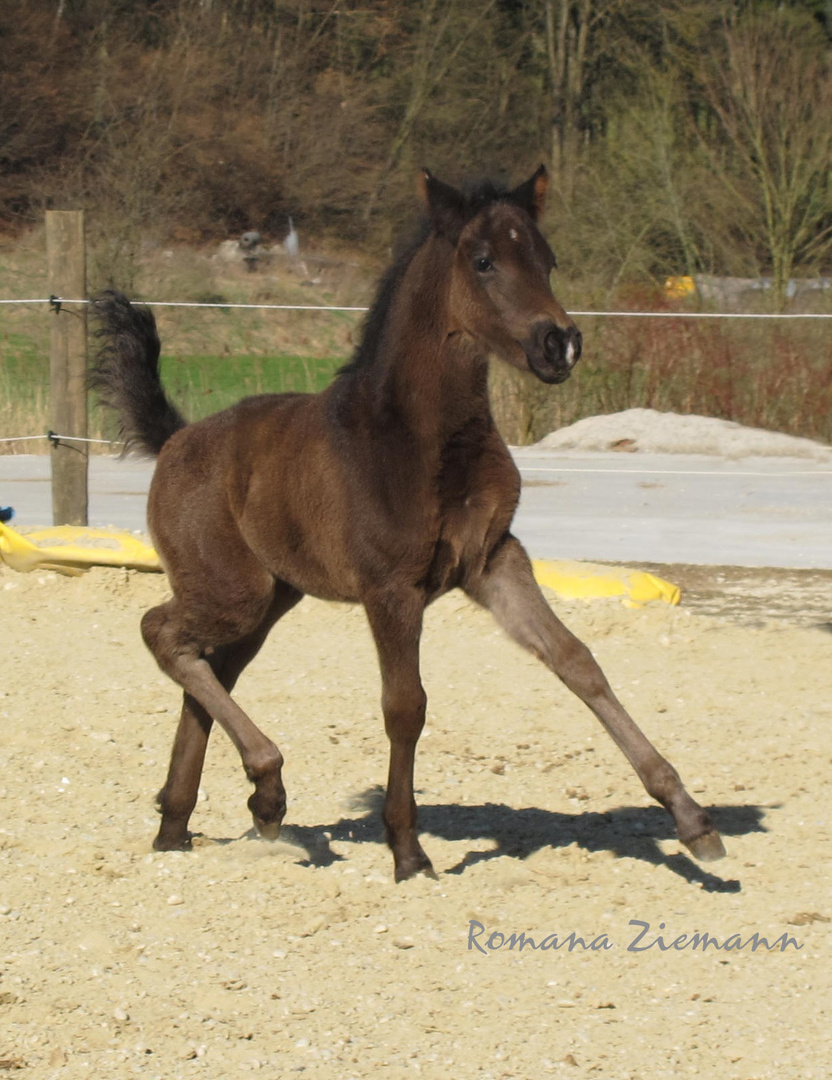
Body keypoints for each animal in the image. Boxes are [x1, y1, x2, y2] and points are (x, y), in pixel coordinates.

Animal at [89, 164, 717, 881]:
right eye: (483, 261)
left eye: (548, 261)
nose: (559, 344)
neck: (423, 439)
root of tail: (176, 438)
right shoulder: (391, 588)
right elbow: (405, 705)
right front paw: (408, 850)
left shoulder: (495, 560)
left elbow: (576, 661)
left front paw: (692, 819)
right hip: (232, 591)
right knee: (161, 632)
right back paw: (266, 789)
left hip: (272, 598)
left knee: (208, 667)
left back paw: (180, 822)